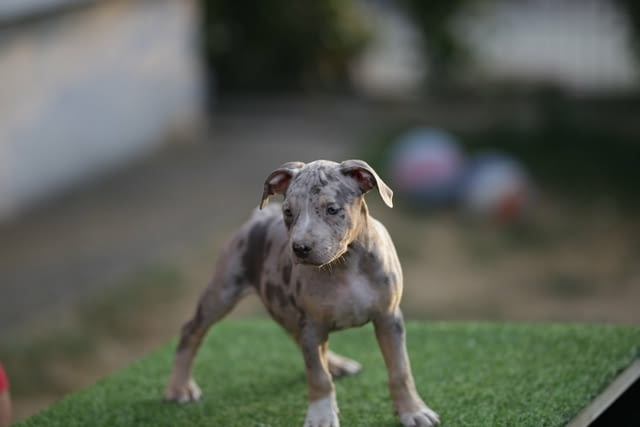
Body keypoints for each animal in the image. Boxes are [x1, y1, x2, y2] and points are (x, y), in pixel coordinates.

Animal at [165, 159, 440, 426]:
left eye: (332, 209)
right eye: (288, 212)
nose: (300, 248)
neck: (346, 264)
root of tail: (258, 218)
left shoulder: (388, 318)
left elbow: (400, 370)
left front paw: (413, 410)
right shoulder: (312, 323)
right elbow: (318, 376)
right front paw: (321, 416)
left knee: (304, 340)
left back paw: (335, 363)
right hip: (224, 291)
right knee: (192, 330)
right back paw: (180, 387)